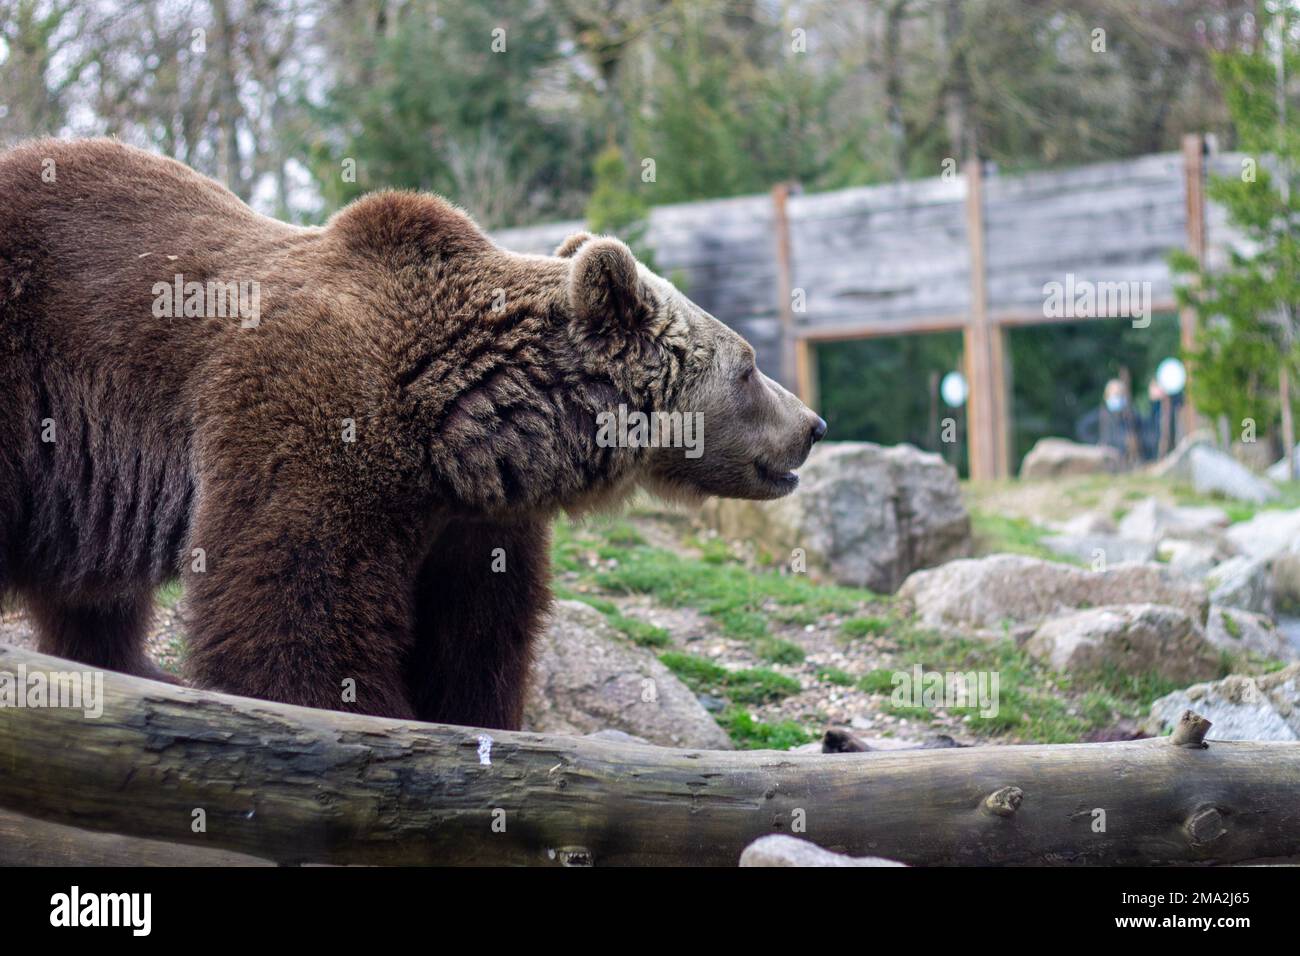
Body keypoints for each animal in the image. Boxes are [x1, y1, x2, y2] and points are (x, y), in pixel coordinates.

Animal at [0, 138, 826, 728]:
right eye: (749, 366)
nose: (813, 426)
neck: (456, 419)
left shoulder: (474, 518)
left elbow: (475, 640)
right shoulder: (312, 425)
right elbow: (297, 615)